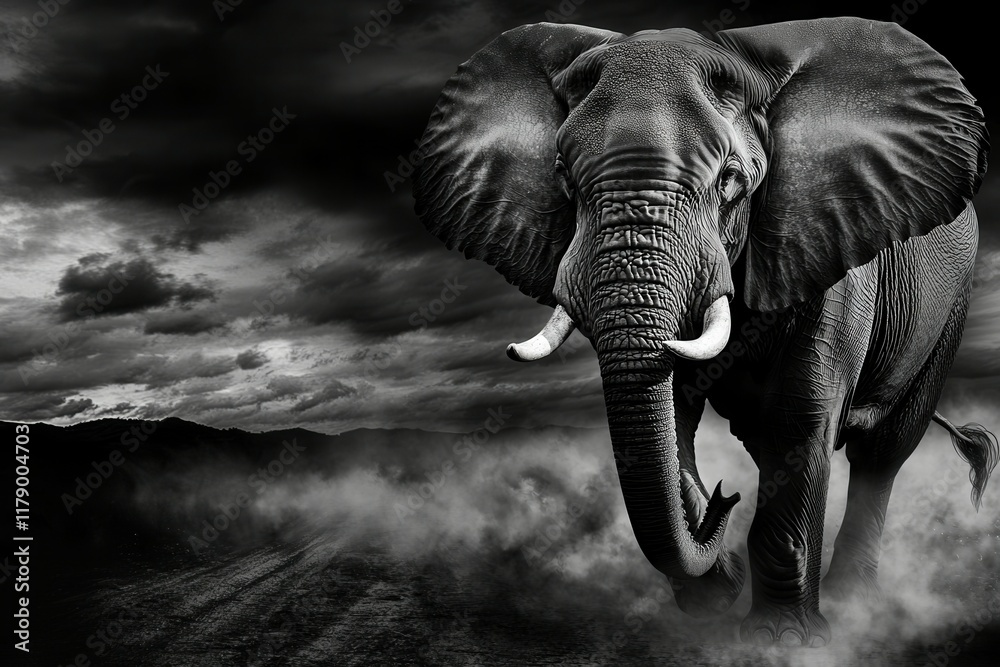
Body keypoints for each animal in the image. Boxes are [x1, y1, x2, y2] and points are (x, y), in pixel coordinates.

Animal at [411, 17, 999, 646]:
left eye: (730, 181)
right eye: (564, 179)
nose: (724, 499)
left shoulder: (828, 246)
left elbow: (799, 419)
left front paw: (780, 641)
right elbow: (679, 416)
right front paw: (716, 591)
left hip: (949, 308)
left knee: (880, 454)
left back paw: (853, 606)